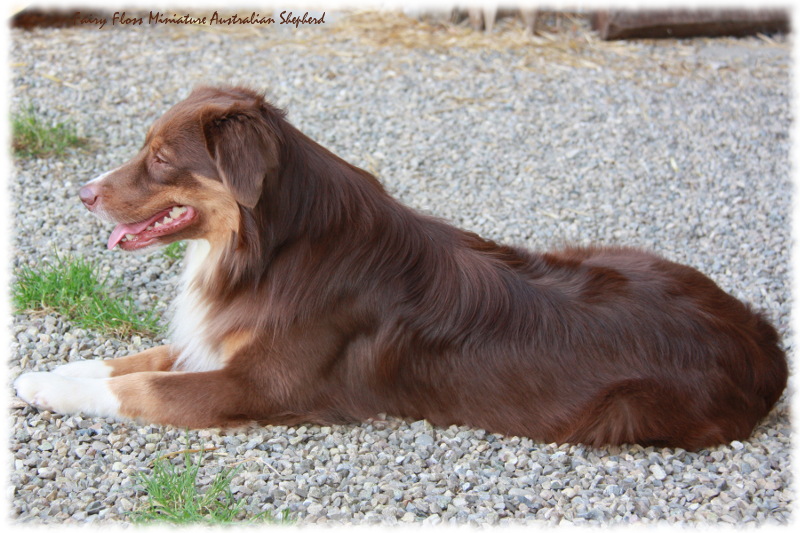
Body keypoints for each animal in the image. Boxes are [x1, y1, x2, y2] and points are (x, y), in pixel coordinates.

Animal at [15, 84, 792, 448]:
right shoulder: (219, 342)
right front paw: (47, 372)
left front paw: (52, 389)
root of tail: (765, 341)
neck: (272, 248)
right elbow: (135, 358)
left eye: (160, 158)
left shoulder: (258, 385)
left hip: (626, 413)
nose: (83, 192)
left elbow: (140, 387)